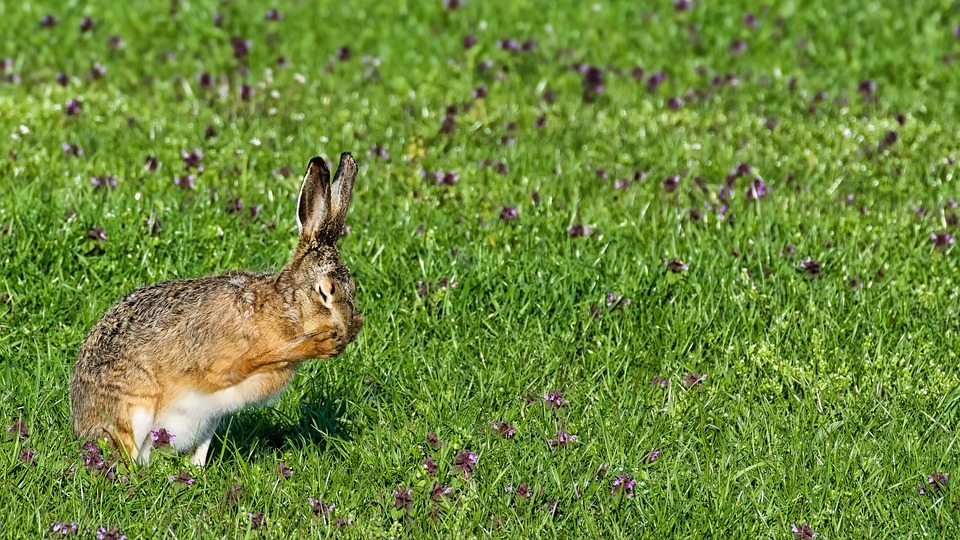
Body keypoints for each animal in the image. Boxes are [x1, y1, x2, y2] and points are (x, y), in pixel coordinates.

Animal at [70, 152, 364, 466]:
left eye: (353, 290)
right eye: (324, 292)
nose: (345, 331)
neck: (283, 308)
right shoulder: (224, 365)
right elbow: (258, 358)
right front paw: (320, 344)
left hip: (207, 423)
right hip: (134, 413)